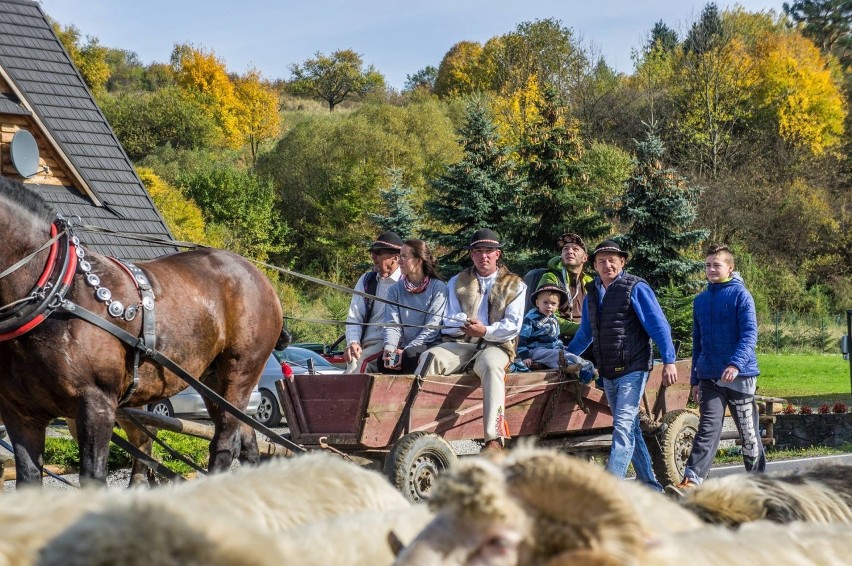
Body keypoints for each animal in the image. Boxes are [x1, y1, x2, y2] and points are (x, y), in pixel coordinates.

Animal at [0, 179, 286, 488]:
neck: (56, 294)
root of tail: (260, 278)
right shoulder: (21, 415)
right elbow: (29, 480)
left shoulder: (96, 405)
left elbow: (93, 477)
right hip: (212, 383)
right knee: (247, 444)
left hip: (240, 374)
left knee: (223, 446)